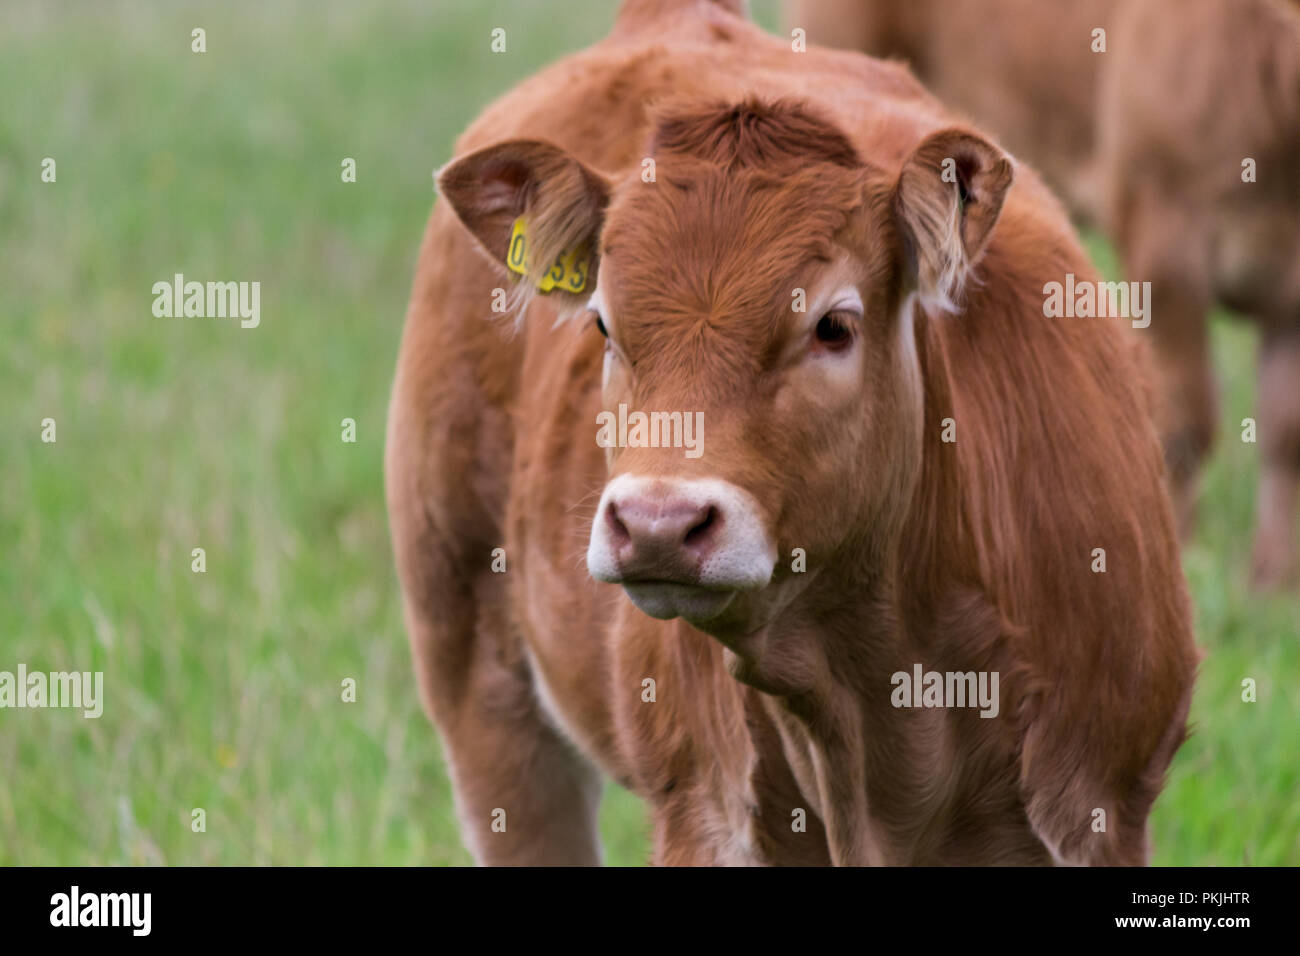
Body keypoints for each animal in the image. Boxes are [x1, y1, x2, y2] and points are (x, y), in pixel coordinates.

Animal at [384, 0, 1196, 868]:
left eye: (832, 325)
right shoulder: (705, 814)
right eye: (602, 324)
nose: (658, 524)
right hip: (479, 683)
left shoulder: (1103, 807)